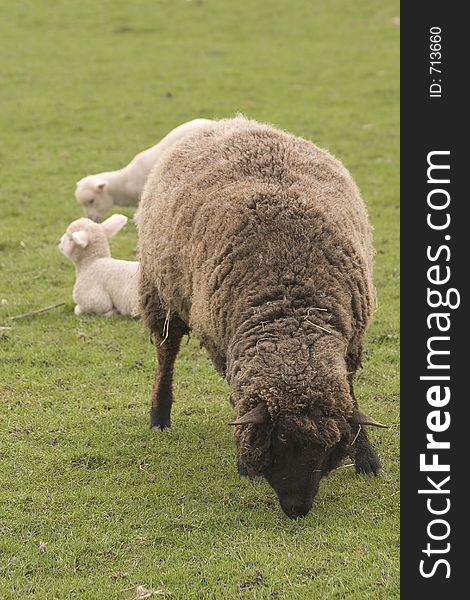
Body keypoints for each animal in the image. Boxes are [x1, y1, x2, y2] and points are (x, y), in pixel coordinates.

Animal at [137, 117, 386, 520]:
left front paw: (367, 460)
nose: (298, 509)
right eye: (280, 437)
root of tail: (231, 121)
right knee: (166, 353)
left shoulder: (351, 345)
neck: (292, 316)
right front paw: (243, 464)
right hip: (160, 292)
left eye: (329, 445)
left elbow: (351, 402)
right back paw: (159, 416)